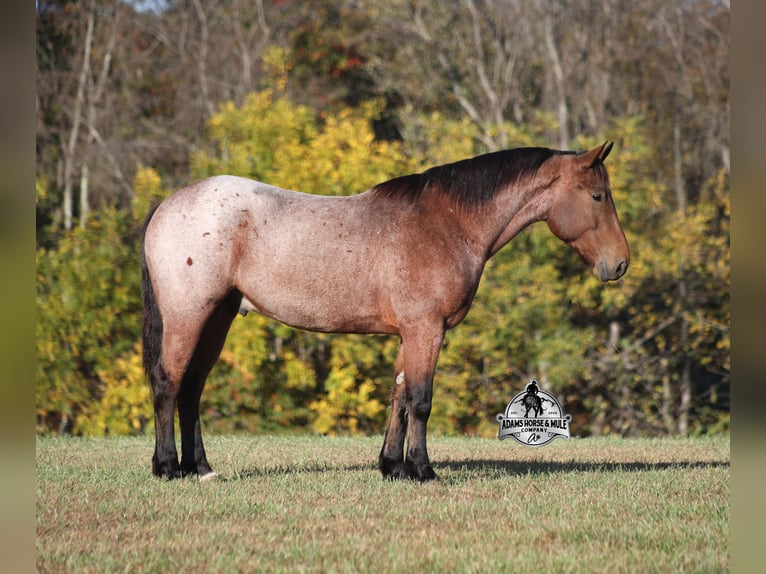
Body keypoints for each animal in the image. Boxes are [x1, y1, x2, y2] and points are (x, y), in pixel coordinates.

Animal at [141, 141, 629, 482]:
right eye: (598, 196)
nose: (620, 263)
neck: (448, 223)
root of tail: (167, 206)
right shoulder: (426, 329)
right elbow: (421, 400)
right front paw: (424, 470)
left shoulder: (409, 333)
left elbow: (399, 397)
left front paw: (393, 467)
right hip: (189, 317)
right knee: (168, 383)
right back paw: (168, 467)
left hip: (217, 319)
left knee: (191, 389)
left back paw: (202, 468)